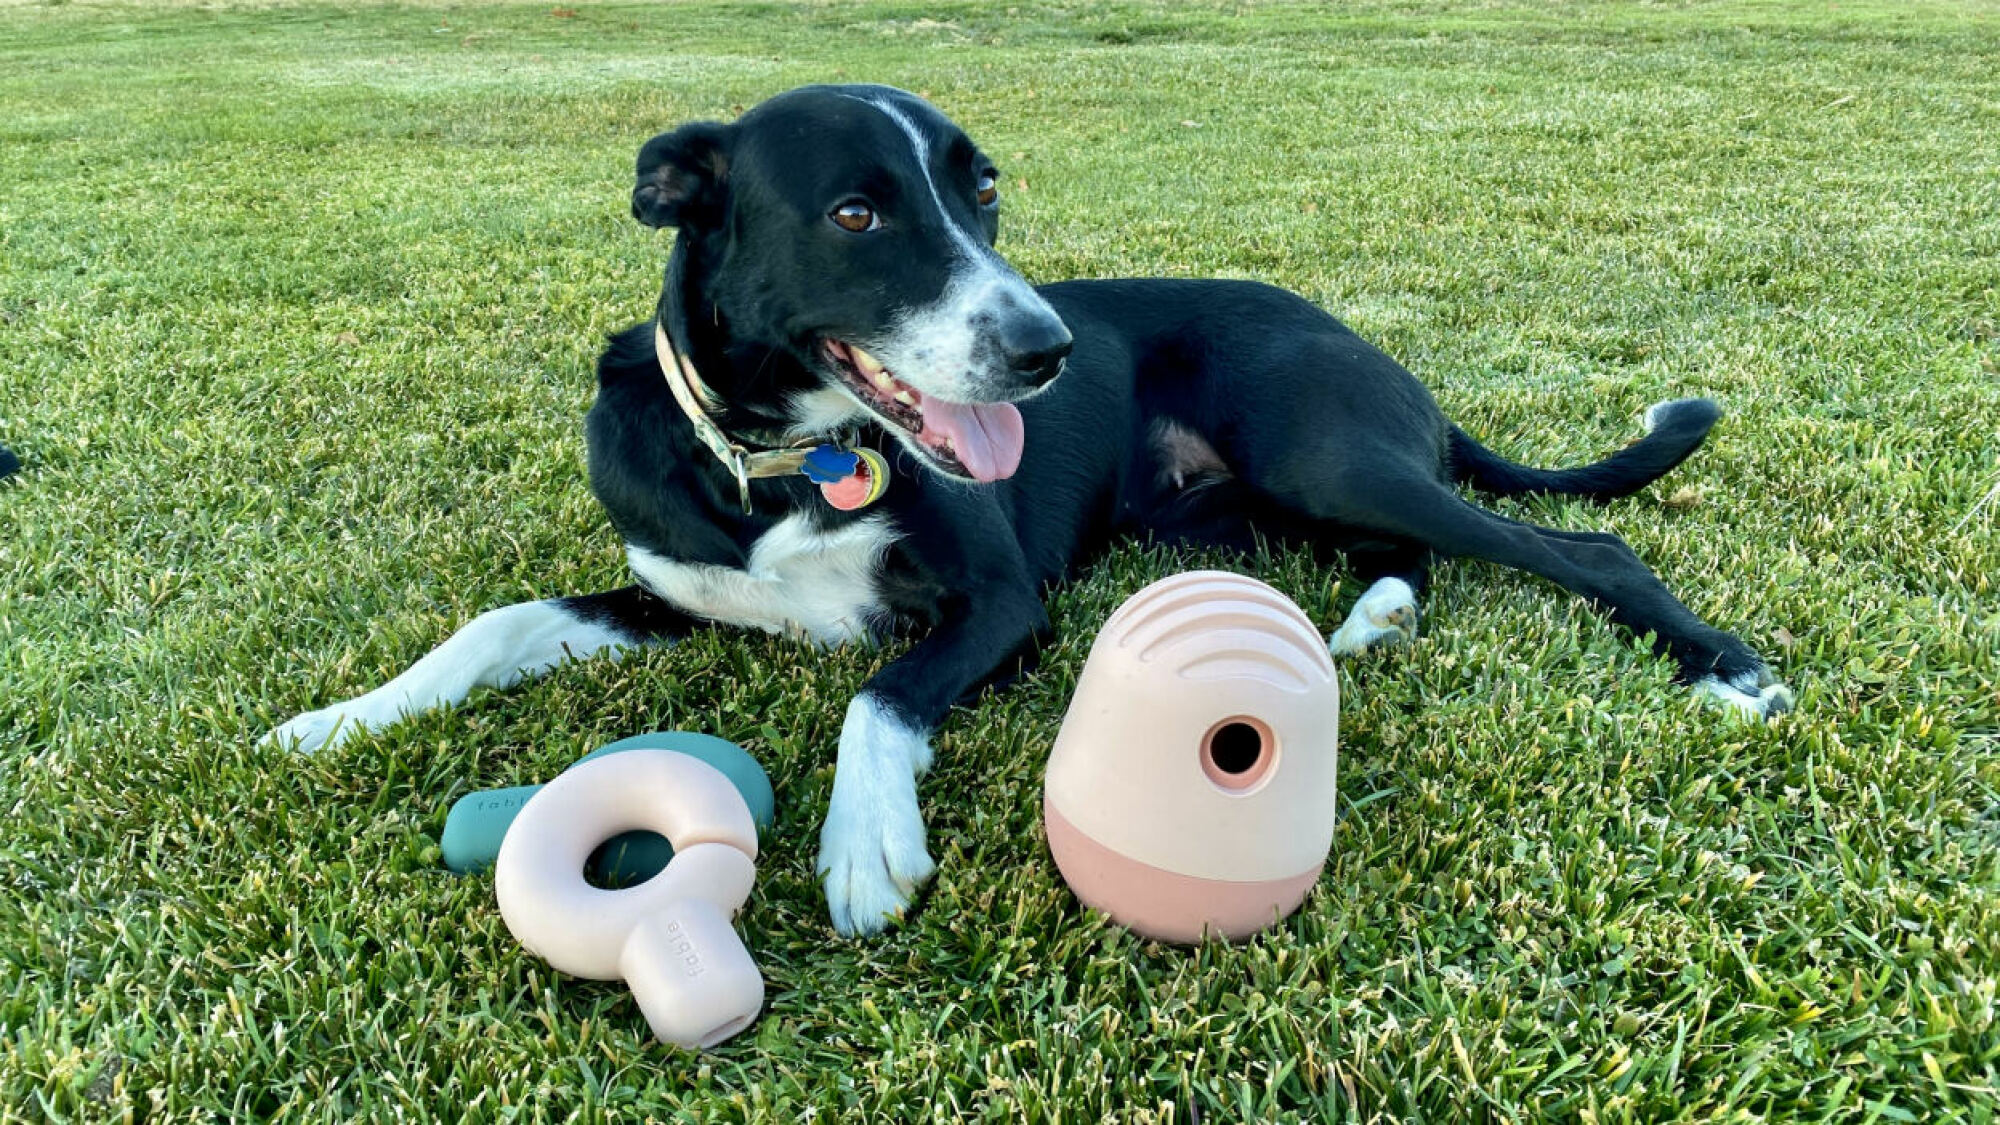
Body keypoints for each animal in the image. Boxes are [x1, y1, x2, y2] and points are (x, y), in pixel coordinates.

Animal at [270, 83, 1800, 932]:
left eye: (984, 188)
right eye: (855, 214)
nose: (1048, 348)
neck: (781, 463)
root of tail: (1366, 344)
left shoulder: (1002, 598)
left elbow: (876, 692)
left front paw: (865, 841)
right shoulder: (676, 591)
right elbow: (498, 618)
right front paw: (337, 718)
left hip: (1322, 453)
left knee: (1579, 542)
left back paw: (1726, 669)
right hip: (1232, 518)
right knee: (1401, 552)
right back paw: (1372, 616)